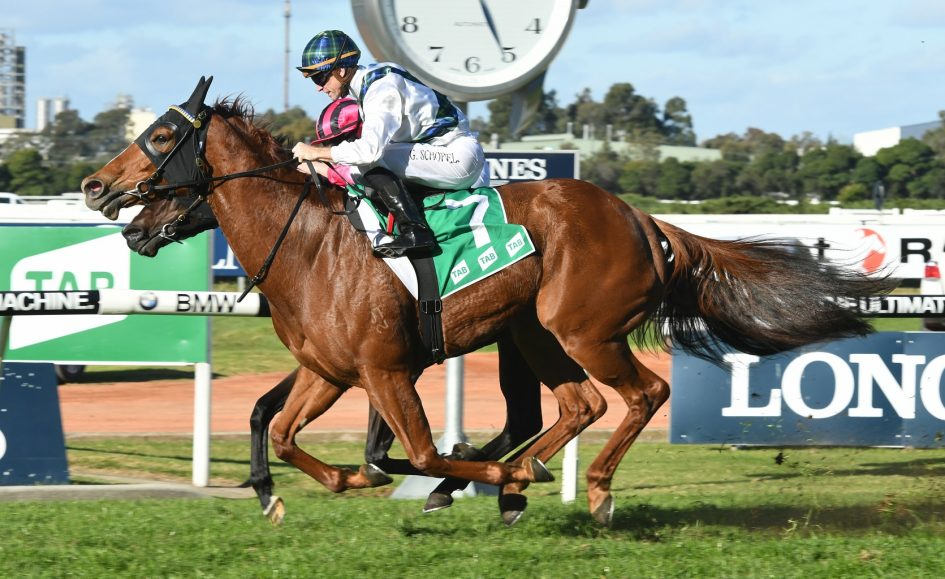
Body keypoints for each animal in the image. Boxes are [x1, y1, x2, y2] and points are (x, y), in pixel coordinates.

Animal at [81, 77, 894, 526]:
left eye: (162, 133)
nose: (94, 188)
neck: (310, 246)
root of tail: (644, 220)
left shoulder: (384, 370)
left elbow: (413, 449)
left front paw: (469, 477)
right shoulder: (330, 370)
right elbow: (279, 430)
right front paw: (311, 486)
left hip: (581, 329)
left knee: (642, 394)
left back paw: (587, 488)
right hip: (535, 334)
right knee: (577, 406)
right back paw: (520, 480)